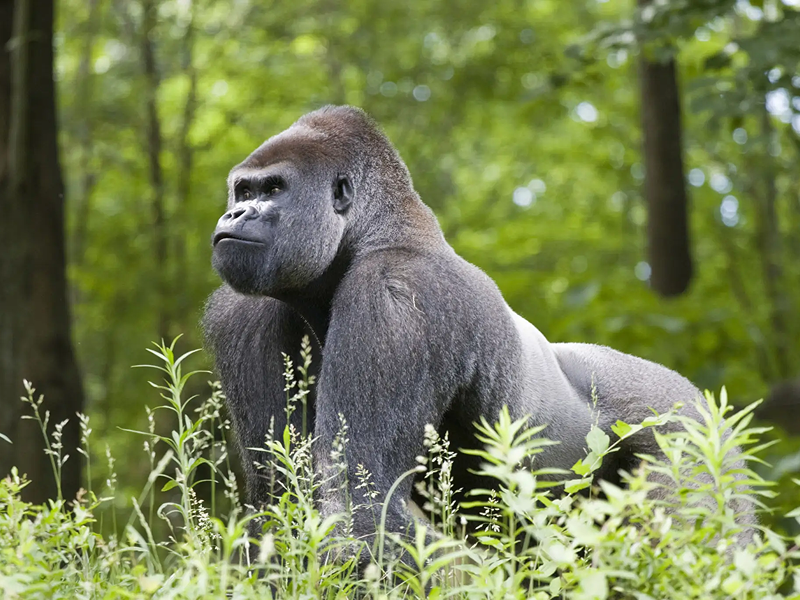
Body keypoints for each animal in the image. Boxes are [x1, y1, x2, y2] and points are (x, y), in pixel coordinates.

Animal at [202, 105, 755, 562]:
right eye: (243, 191)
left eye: (273, 190)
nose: (234, 213)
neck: (372, 235)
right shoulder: (243, 313)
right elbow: (281, 502)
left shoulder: (395, 296)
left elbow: (362, 508)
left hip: (690, 431)